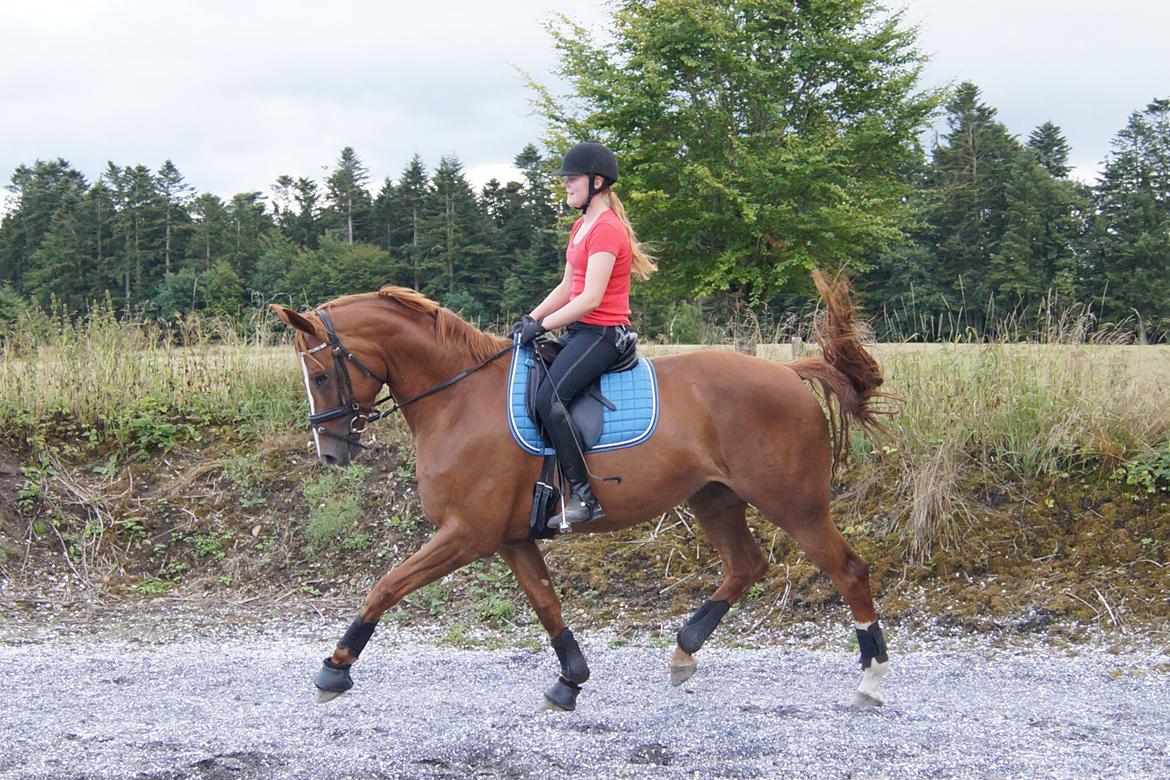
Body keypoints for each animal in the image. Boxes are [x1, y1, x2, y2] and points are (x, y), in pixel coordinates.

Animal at [276, 271, 893, 711]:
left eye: (321, 375)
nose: (330, 453)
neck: (458, 399)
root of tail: (789, 374)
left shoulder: (466, 534)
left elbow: (386, 585)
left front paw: (336, 666)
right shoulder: (510, 537)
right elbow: (546, 603)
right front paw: (570, 680)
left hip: (794, 504)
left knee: (847, 570)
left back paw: (871, 678)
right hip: (713, 497)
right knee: (747, 564)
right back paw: (684, 649)